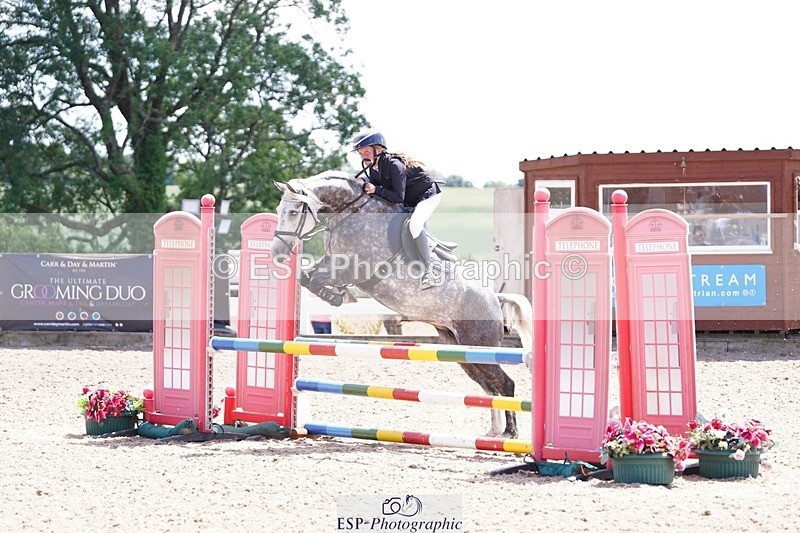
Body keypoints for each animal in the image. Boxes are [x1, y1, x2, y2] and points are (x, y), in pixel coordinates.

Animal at [271, 170, 533, 438]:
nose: (277, 252)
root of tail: (495, 299)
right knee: (489, 386)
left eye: (293, 212)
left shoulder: (355, 269)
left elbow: (316, 279)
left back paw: (510, 433)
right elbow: (307, 277)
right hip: (461, 350)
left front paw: (334, 296)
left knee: (505, 383)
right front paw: (334, 295)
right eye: (280, 209)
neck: (350, 211)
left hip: (479, 344)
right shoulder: (331, 262)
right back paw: (493, 432)